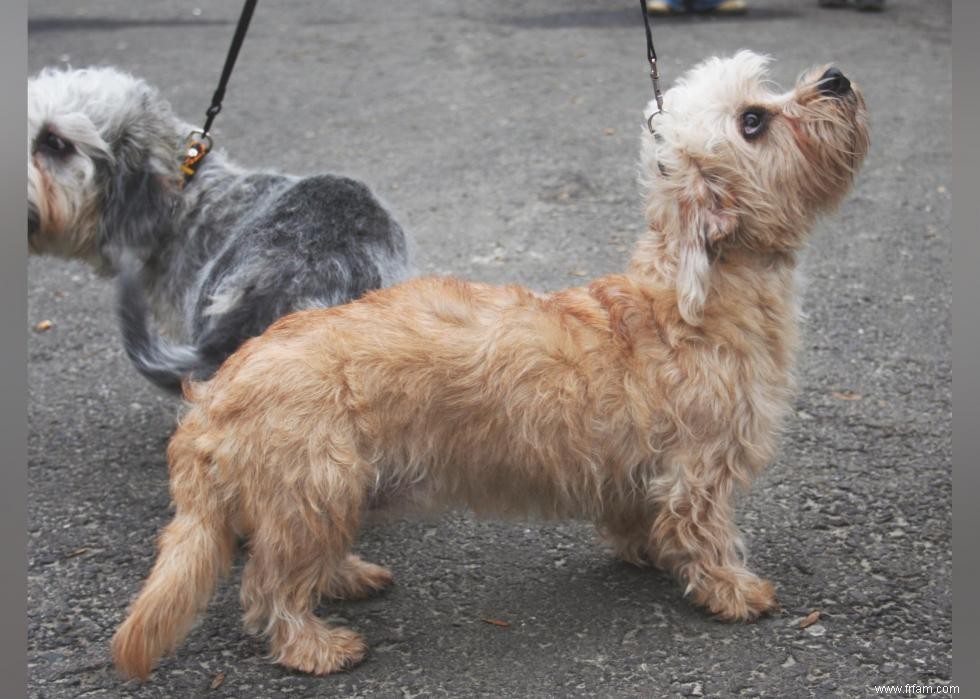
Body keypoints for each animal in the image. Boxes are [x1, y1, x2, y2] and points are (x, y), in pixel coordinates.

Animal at [111, 52, 868, 680]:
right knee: (267, 586)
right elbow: (705, 533)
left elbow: (640, 516)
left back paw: (348, 576)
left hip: (324, 495)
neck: (693, 302)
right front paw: (733, 590)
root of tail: (212, 398)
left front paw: (649, 550)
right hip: (316, 487)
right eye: (753, 121)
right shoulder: (701, 468)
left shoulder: (642, 466)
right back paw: (315, 645)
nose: (836, 77)